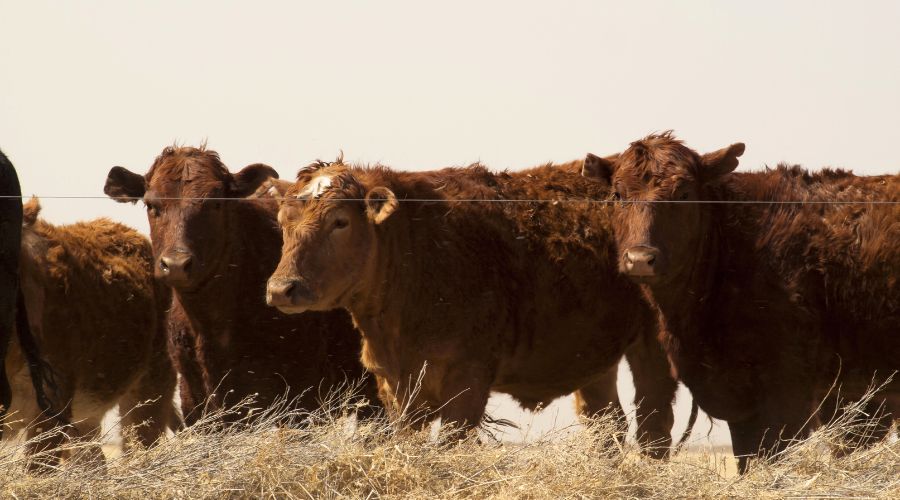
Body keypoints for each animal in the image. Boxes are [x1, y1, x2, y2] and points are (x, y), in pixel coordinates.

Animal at [264, 157, 684, 458]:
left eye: (340, 222)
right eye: (283, 221)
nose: (282, 289)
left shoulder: (467, 382)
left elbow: (451, 444)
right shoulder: (397, 387)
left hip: (653, 346)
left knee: (654, 428)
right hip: (594, 359)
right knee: (607, 427)